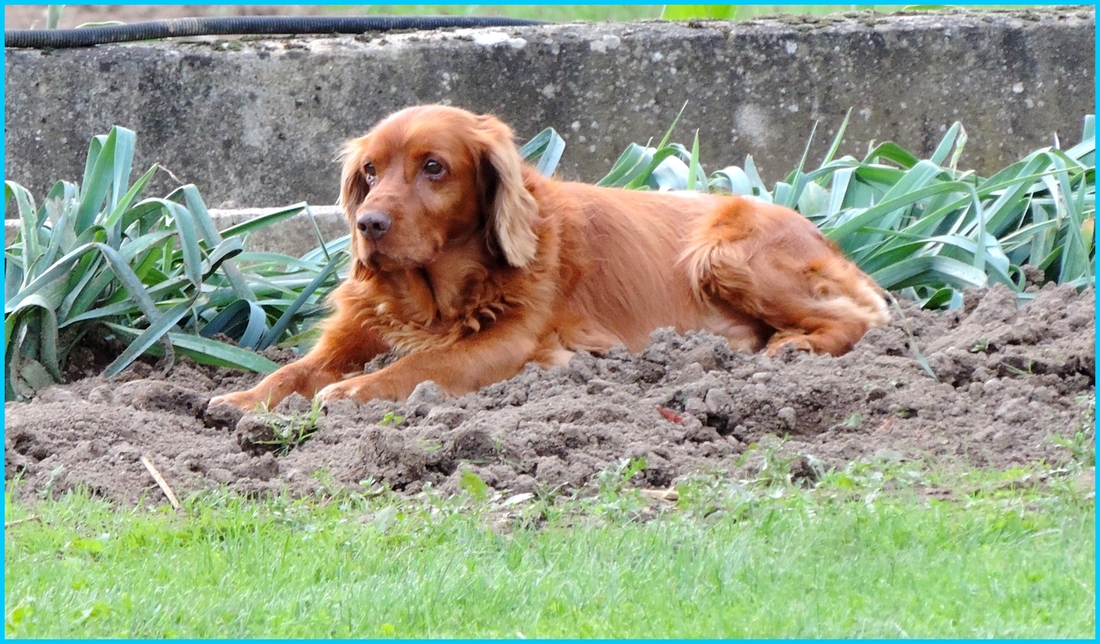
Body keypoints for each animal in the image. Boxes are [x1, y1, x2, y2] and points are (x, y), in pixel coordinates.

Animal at [210, 103, 888, 409]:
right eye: (370, 172)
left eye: (434, 168)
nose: (367, 224)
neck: (430, 297)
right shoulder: (353, 334)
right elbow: (291, 373)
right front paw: (242, 401)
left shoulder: (506, 342)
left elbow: (418, 366)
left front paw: (353, 393)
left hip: (723, 256)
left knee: (861, 320)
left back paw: (789, 349)